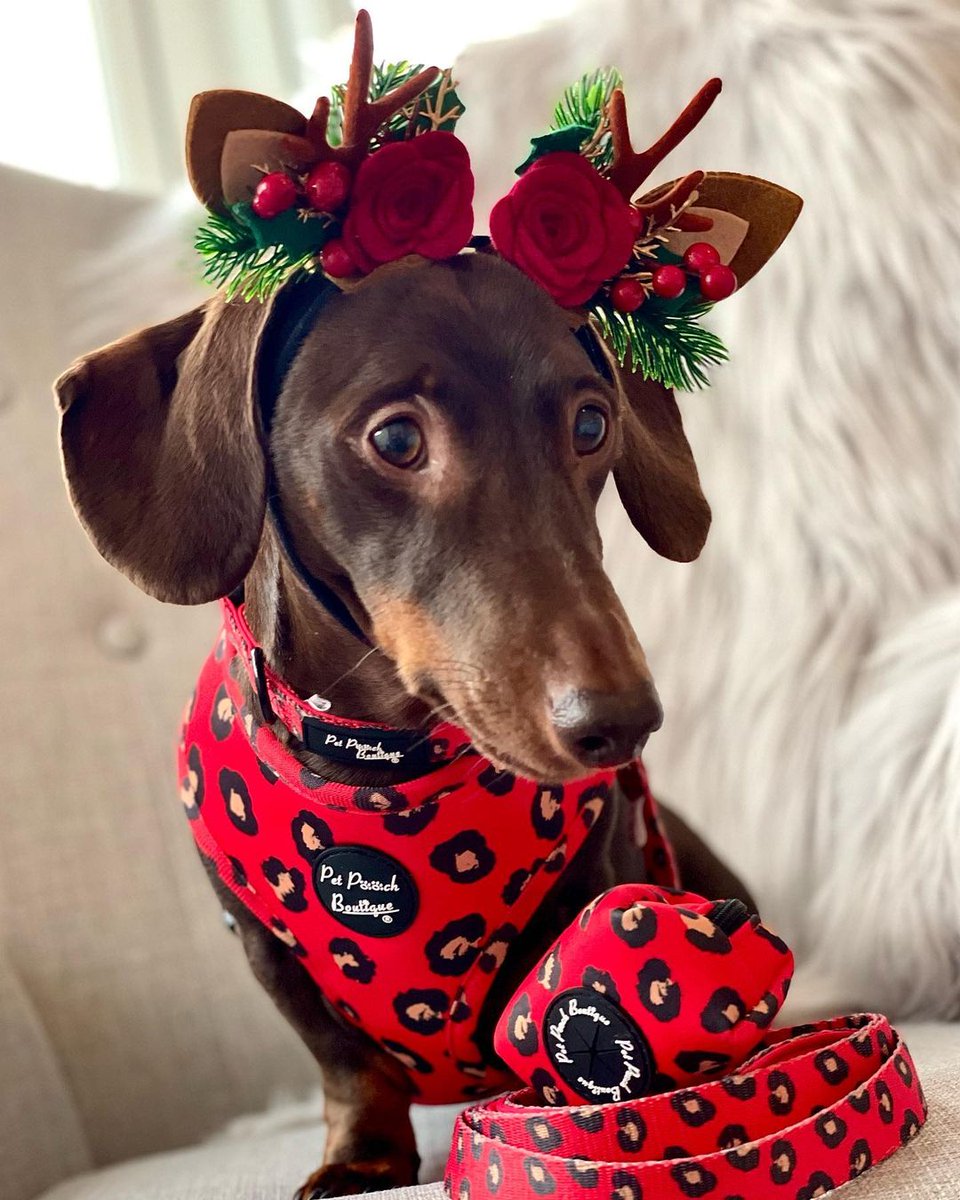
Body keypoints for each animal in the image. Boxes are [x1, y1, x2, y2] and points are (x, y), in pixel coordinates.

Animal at [56, 250, 753, 1190]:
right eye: (395, 440)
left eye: (591, 424)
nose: (622, 724)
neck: (380, 771)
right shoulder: (265, 949)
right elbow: (346, 1065)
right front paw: (366, 1157)